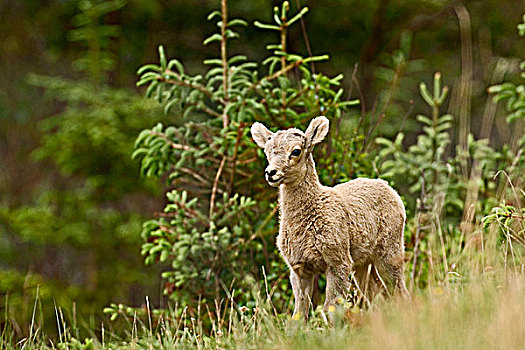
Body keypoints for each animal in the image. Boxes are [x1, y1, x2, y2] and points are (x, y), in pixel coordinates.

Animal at [251, 115, 410, 320]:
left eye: (296, 151)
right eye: (267, 151)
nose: (271, 173)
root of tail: (390, 189)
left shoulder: (338, 262)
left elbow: (330, 308)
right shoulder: (298, 268)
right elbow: (298, 314)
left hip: (390, 250)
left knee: (400, 292)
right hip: (363, 263)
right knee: (377, 294)